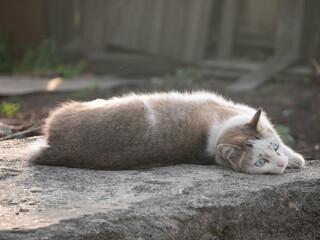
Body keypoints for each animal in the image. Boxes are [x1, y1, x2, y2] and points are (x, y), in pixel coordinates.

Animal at [27, 91, 304, 173]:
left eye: (273, 148)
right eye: (260, 162)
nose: (280, 163)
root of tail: (56, 148)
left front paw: (292, 160)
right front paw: (296, 160)